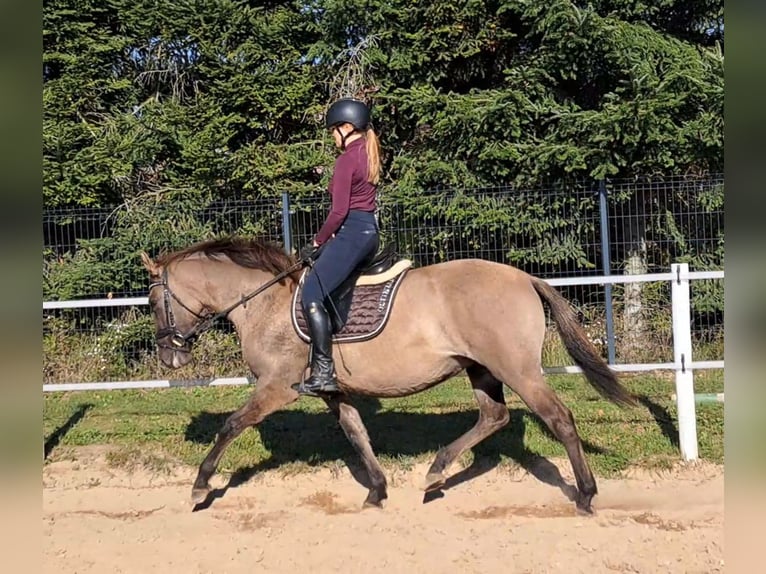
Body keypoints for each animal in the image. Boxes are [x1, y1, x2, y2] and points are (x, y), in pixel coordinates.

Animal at [141, 236, 640, 516]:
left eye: (151, 299)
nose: (169, 357)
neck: (265, 302)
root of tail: (523, 278)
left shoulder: (277, 388)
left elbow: (230, 426)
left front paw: (200, 486)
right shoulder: (331, 391)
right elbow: (355, 432)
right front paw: (377, 492)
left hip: (516, 369)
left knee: (559, 419)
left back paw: (585, 495)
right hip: (481, 369)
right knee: (493, 417)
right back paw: (435, 474)